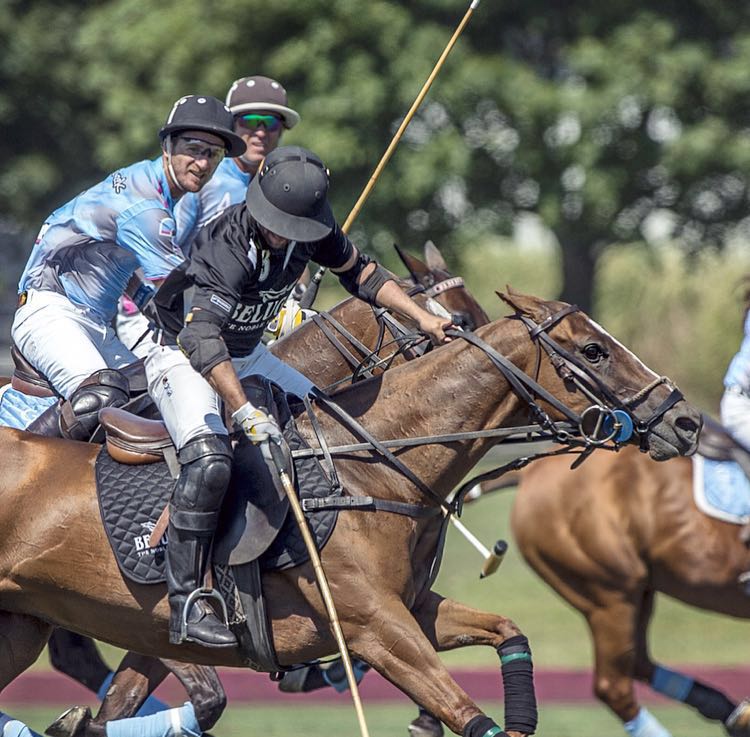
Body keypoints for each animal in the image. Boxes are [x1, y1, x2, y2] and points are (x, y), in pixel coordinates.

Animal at [0, 290, 704, 732]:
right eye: (593, 351)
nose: (687, 421)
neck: (366, 464)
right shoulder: (372, 626)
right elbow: (468, 715)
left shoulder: (411, 610)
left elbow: (509, 631)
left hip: (22, 626)